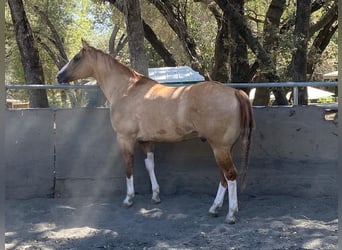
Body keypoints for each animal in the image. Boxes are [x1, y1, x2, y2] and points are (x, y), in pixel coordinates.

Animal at [56, 40, 254, 224]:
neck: (126, 89)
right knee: (224, 177)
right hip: (224, 148)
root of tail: (235, 92)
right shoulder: (145, 141)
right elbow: (150, 165)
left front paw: (129, 199)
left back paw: (231, 214)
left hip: (220, 148)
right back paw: (214, 208)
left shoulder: (125, 138)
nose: (59, 76)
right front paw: (155, 196)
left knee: (230, 176)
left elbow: (128, 167)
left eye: (76, 58)